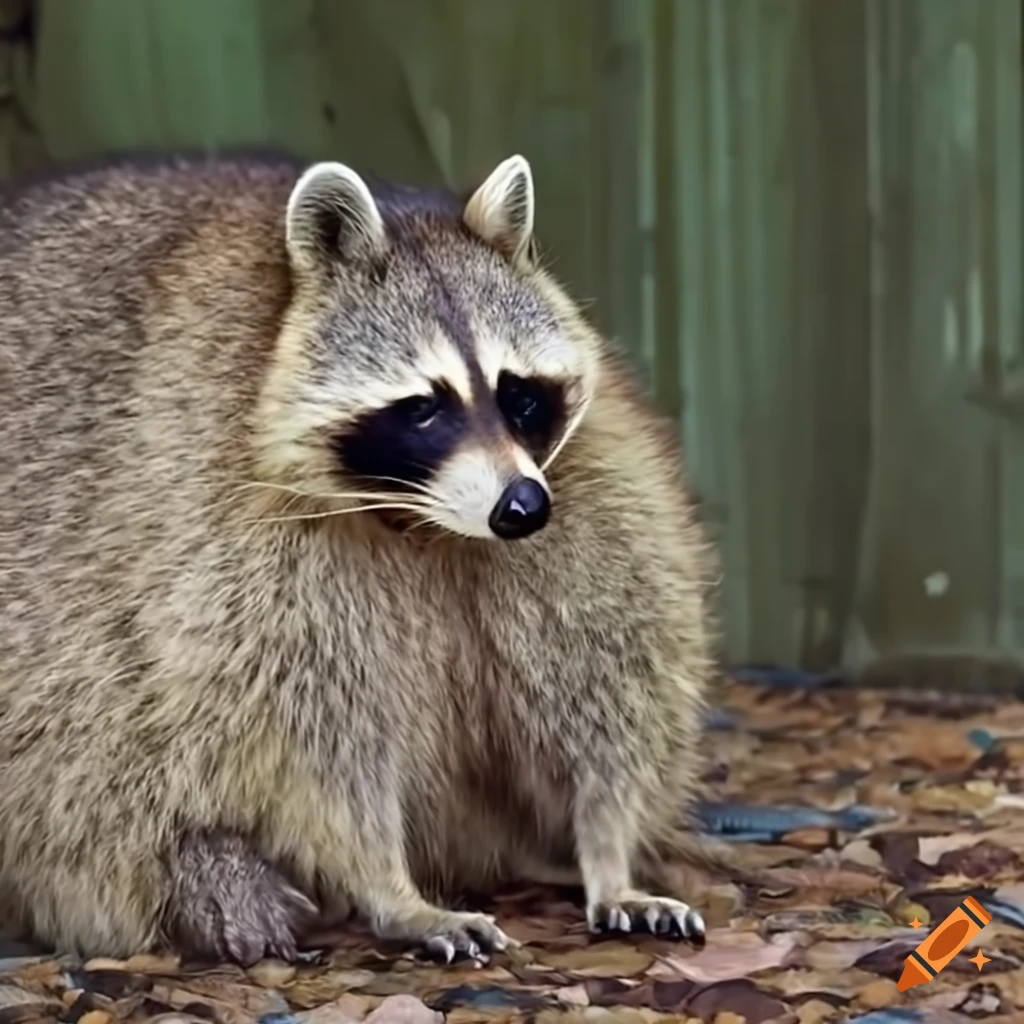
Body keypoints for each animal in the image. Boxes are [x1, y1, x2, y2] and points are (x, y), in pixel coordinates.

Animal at [0, 149, 718, 966]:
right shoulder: (226, 534)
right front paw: (391, 888)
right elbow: (314, 745)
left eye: (519, 395)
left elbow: (610, 691)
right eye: (424, 407)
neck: (438, 528)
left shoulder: (590, 493)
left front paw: (608, 852)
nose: (521, 508)